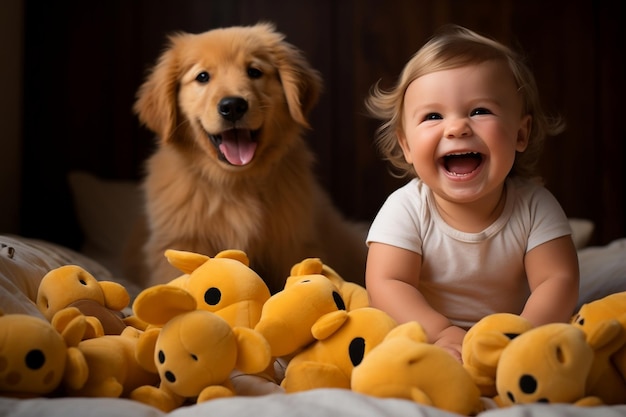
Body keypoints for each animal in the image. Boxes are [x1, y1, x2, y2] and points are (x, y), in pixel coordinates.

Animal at [130, 22, 366, 292]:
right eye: (202, 77)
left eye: (254, 72)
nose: (232, 106)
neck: (236, 183)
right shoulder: (181, 242)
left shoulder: (292, 243)